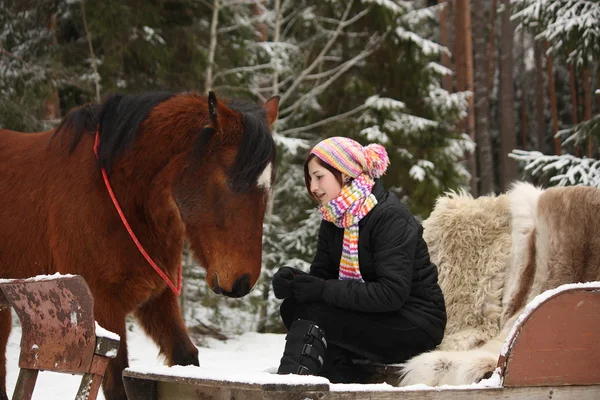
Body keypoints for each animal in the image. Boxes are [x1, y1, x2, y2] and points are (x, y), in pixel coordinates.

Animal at [0, 91, 280, 400]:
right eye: (233, 181)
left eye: (269, 185)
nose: (242, 283)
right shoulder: (104, 308)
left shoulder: (157, 297)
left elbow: (185, 357)